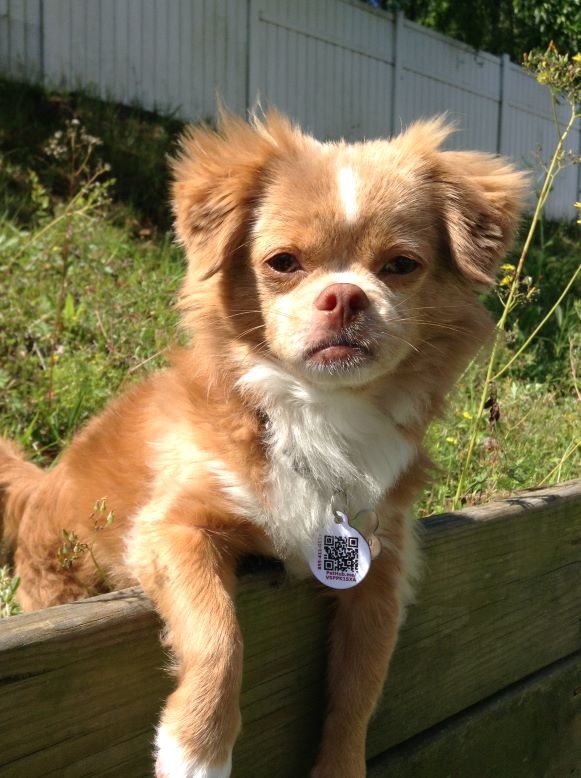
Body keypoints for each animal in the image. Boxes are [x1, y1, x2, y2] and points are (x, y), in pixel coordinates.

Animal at [0, 110, 524, 776]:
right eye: (283, 262)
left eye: (401, 266)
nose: (345, 294)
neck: (319, 413)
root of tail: (43, 482)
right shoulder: (172, 527)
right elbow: (218, 630)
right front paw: (196, 748)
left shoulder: (380, 571)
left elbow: (361, 689)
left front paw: (340, 766)